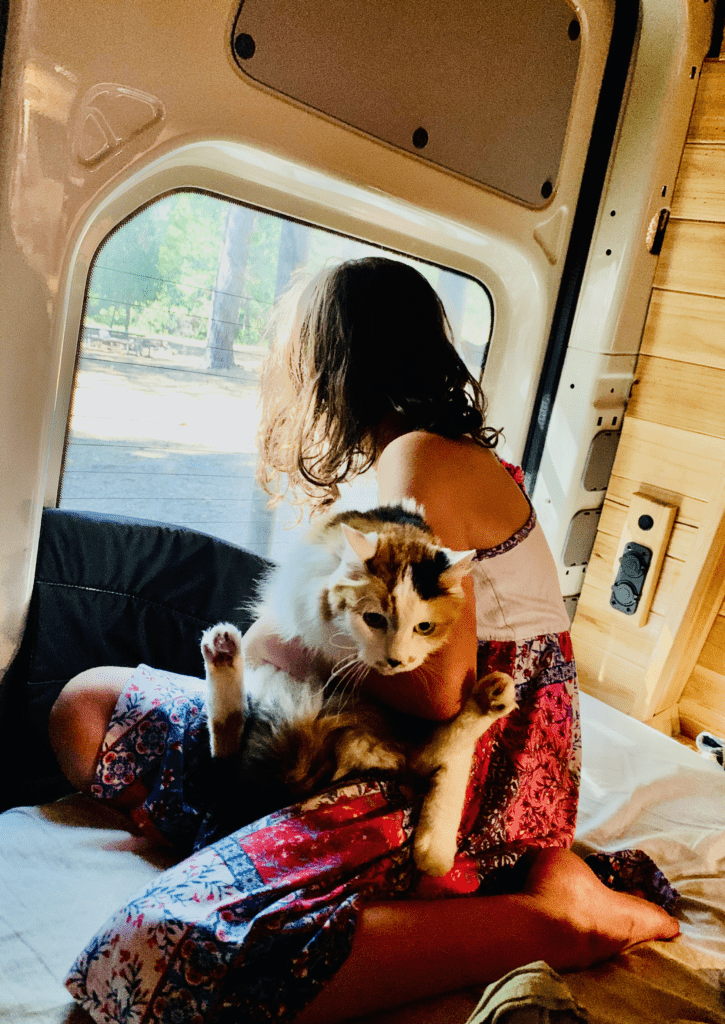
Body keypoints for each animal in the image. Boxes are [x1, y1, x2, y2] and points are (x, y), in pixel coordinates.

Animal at [198, 499, 516, 876]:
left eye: (424, 627)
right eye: (373, 619)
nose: (396, 661)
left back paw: (494, 697)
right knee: (226, 741)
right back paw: (221, 649)